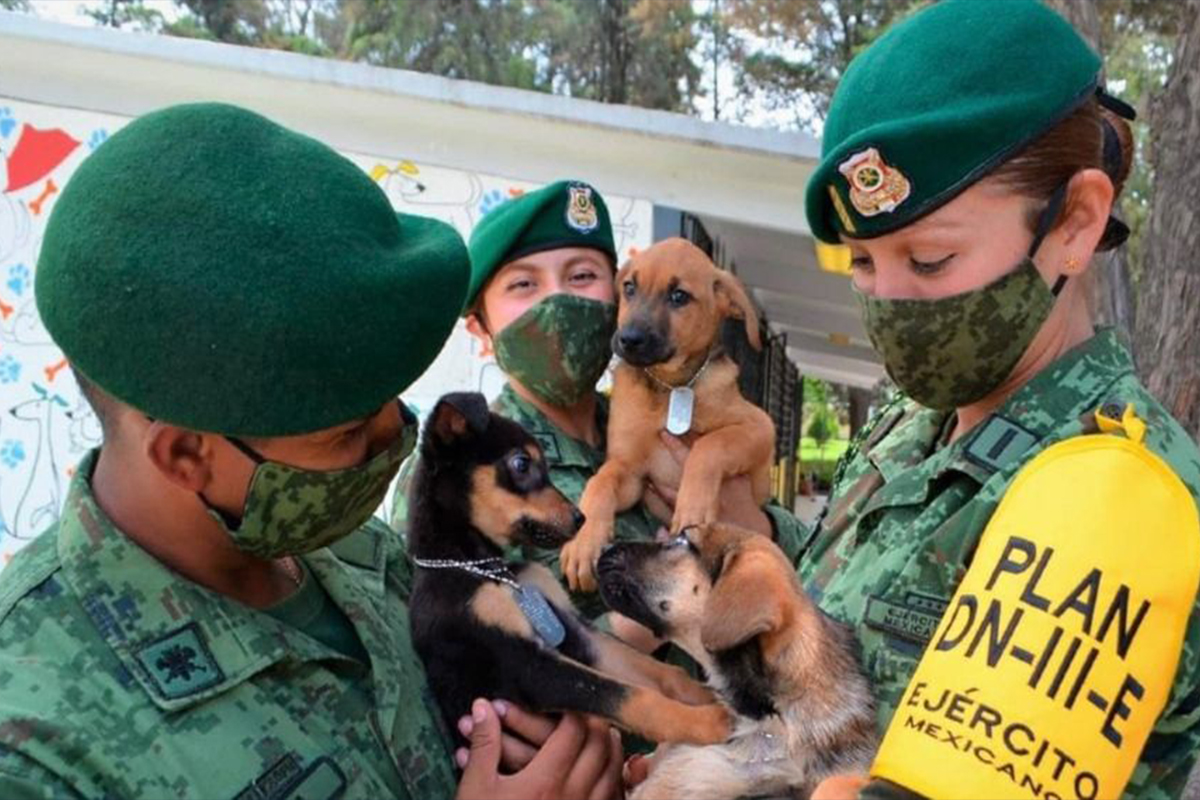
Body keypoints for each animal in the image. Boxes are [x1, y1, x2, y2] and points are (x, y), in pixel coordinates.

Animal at [410, 393, 729, 753]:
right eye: (522, 464)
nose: (581, 518)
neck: (484, 568)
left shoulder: (576, 631)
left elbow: (656, 671)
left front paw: (709, 696)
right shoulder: (523, 664)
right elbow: (628, 696)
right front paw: (706, 722)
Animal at [556, 235, 772, 592]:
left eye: (679, 296)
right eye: (629, 288)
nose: (628, 339)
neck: (670, 387)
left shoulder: (759, 426)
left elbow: (709, 446)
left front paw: (693, 507)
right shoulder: (631, 472)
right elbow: (600, 481)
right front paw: (583, 542)